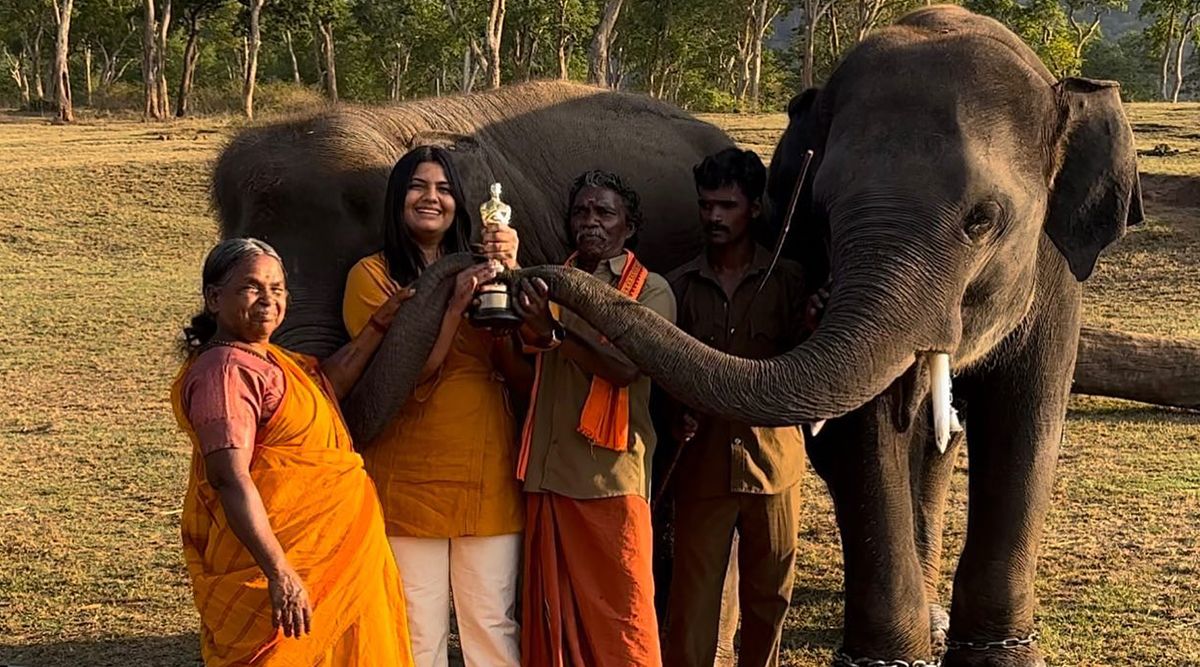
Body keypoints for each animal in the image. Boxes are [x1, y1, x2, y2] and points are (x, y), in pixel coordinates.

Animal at [508, 6, 1142, 667]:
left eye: (982, 220)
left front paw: (999, 657)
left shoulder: (1059, 273)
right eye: (824, 210)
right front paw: (891, 660)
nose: (528, 276)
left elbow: (1028, 421)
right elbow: (862, 433)